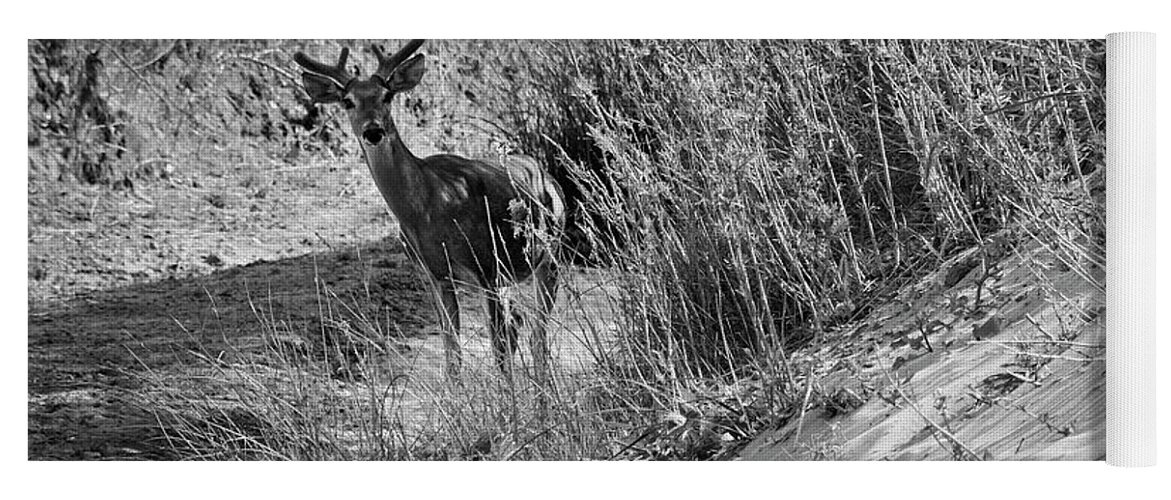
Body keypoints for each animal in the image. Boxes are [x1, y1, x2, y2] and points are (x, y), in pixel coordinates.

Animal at [295, 40, 564, 395]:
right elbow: (453, 352)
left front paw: (507, 403)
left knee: (534, 332)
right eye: (348, 101)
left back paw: (544, 394)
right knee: (521, 326)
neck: (428, 207)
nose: (373, 131)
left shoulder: (488, 265)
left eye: (386, 96)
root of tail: (547, 176)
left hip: (549, 255)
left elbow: (498, 349)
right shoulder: (434, 275)